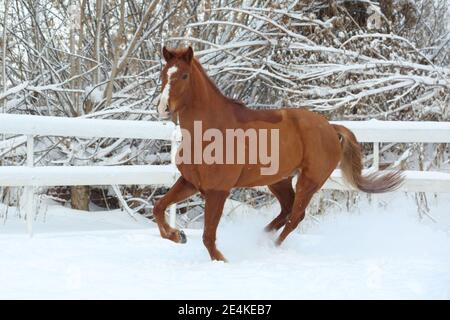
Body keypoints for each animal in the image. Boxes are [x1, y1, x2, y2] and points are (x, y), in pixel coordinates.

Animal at [153, 46, 402, 262]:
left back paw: (270, 246)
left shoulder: (218, 191)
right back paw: (260, 240)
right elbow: (159, 207)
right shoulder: (190, 182)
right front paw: (178, 235)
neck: (208, 132)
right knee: (286, 210)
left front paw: (221, 259)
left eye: (184, 75)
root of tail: (331, 127)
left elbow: (208, 236)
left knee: (295, 216)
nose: (163, 108)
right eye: (164, 73)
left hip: (309, 181)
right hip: (278, 180)